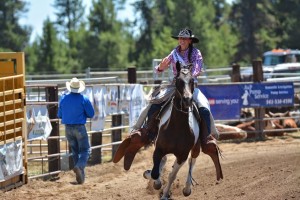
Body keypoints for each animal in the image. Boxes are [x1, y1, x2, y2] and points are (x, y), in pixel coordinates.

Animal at [142, 61, 223, 199]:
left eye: (191, 80)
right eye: (178, 80)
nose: (187, 99)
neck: (177, 127)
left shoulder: (182, 155)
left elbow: (172, 175)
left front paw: (165, 195)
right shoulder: (158, 149)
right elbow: (155, 172)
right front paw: (155, 181)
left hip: (195, 147)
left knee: (192, 161)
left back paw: (187, 188)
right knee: (164, 161)